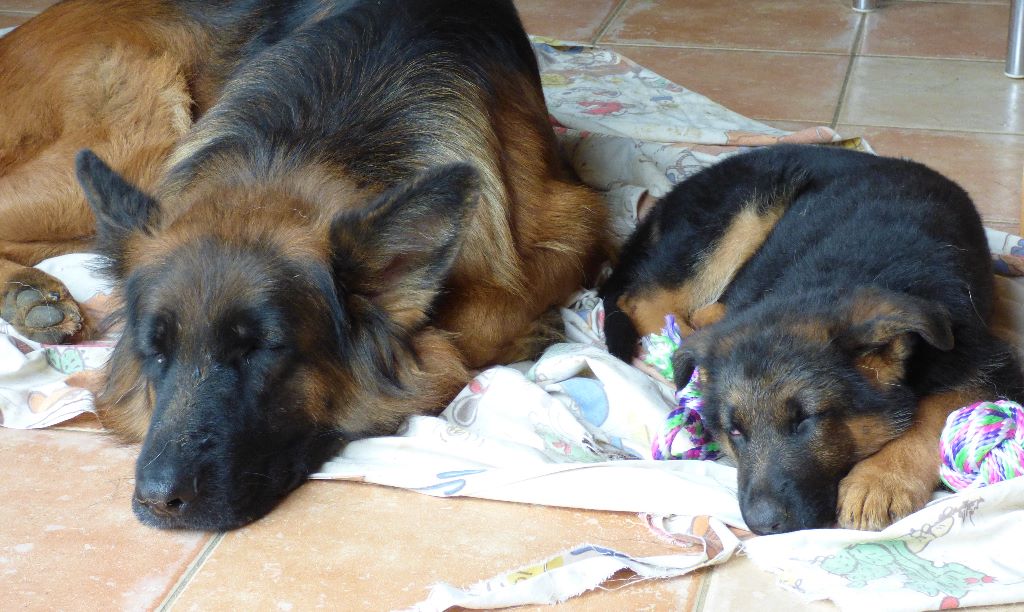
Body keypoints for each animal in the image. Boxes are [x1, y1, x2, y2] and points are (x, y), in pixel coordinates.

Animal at [2, 0, 606, 532]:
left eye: (261, 351)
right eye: (156, 351)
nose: (155, 501)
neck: (312, 139)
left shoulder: (573, 224)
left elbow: (469, 331)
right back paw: (28, 296)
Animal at [602, 146, 1019, 536]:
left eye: (806, 421)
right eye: (735, 431)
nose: (761, 525)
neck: (838, 276)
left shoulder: (989, 362)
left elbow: (934, 413)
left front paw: (880, 480)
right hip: (739, 216)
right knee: (644, 299)